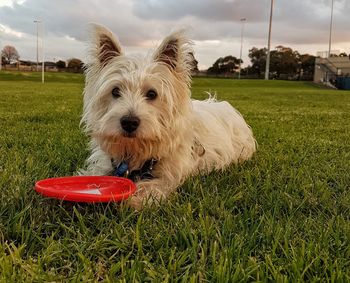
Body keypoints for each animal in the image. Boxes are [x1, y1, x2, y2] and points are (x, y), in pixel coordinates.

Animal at [82, 24, 258, 210]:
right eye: (115, 91)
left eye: (152, 94)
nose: (129, 122)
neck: (136, 150)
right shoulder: (107, 163)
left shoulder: (171, 173)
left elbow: (156, 184)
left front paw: (135, 199)